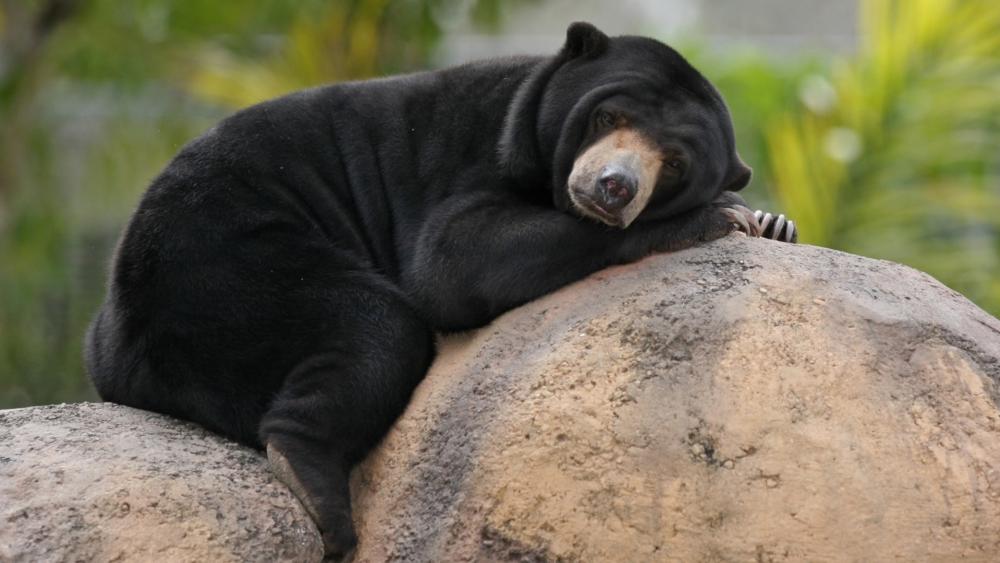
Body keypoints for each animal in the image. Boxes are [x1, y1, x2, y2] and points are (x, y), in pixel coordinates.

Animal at [90, 23, 800, 560]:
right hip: (225, 259)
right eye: (609, 115)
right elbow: (451, 261)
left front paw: (774, 222)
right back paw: (317, 492)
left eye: (674, 162)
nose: (614, 187)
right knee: (376, 327)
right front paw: (721, 217)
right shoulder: (472, 157)